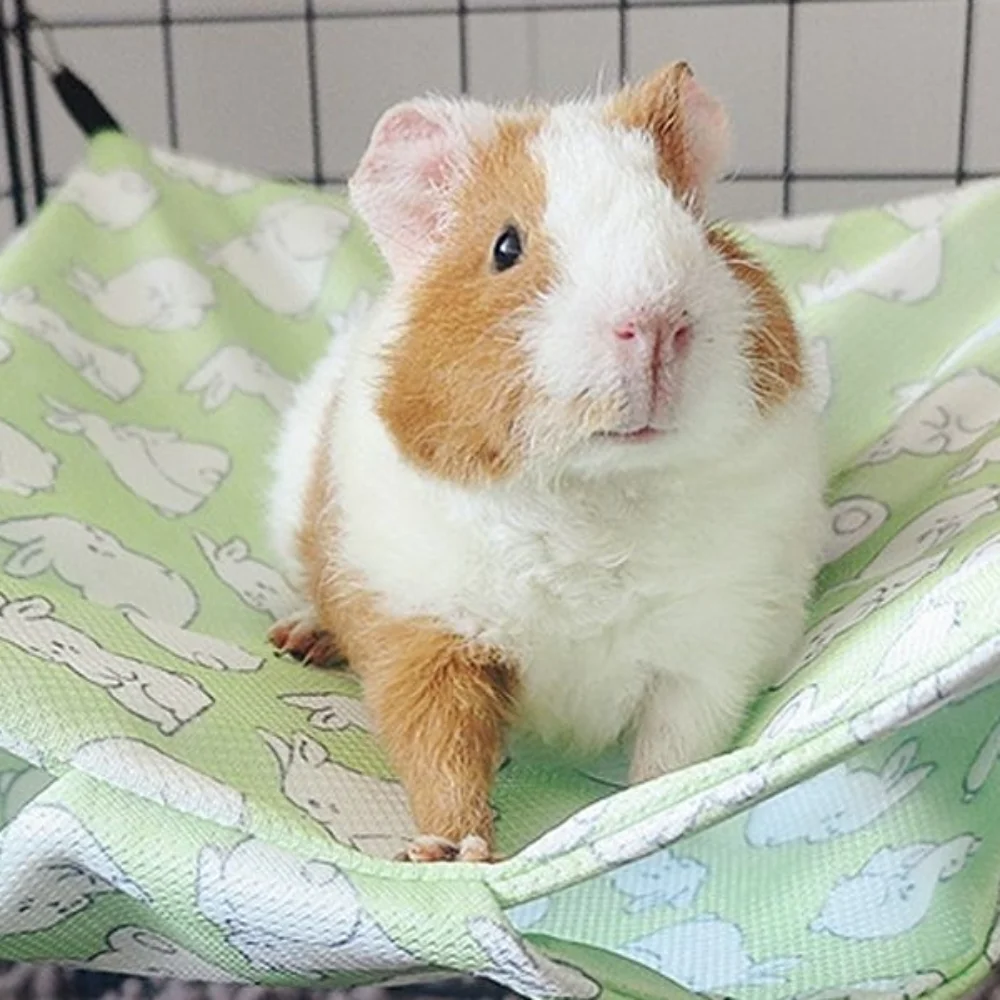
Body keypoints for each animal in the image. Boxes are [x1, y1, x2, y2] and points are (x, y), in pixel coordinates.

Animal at [266, 62, 827, 863]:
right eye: (506, 247)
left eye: (693, 225)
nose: (655, 325)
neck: (597, 493)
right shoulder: (423, 633)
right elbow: (441, 752)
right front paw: (450, 854)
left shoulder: (714, 650)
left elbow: (675, 751)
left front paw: (638, 814)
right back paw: (299, 641)